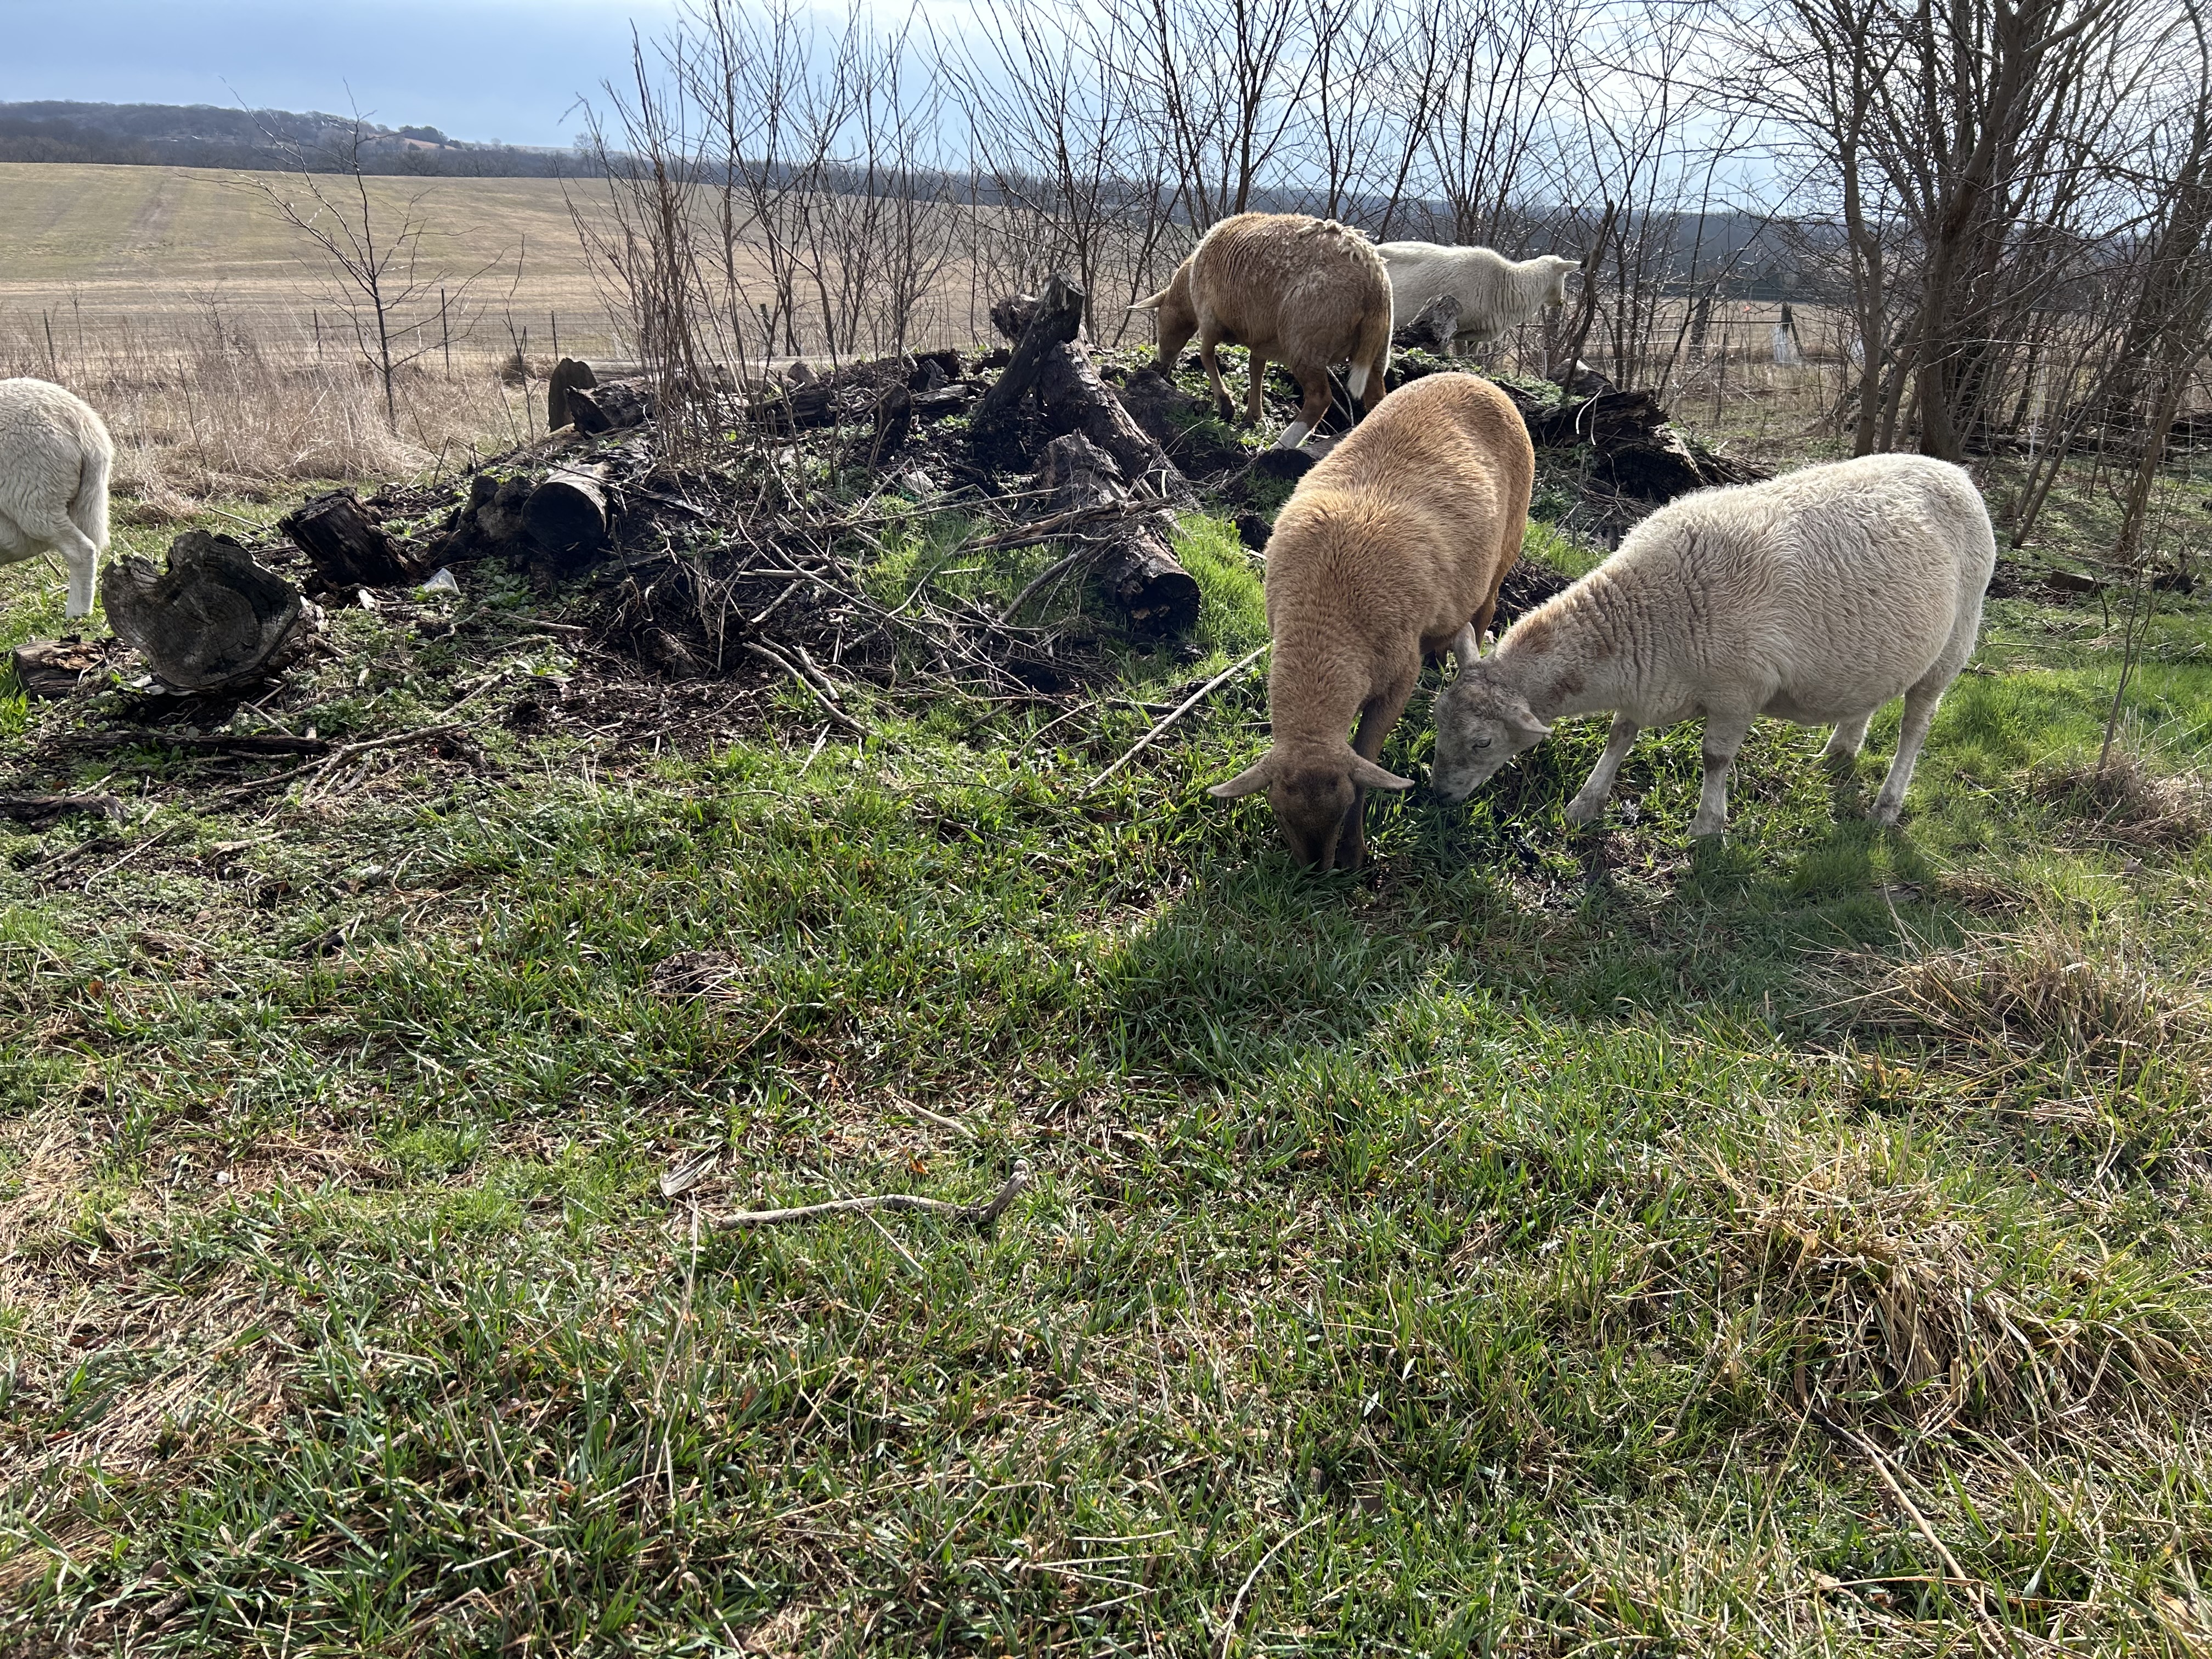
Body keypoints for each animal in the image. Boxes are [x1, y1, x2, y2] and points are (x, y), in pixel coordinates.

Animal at [1131, 213, 1395, 450]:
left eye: (1159, 321)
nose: (1161, 366)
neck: (1187, 286)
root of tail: (1374, 285)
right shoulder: (1262, 339)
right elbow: (1255, 367)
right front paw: (1252, 415)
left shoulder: (1209, 319)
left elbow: (1206, 356)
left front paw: (1226, 405)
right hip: (1377, 351)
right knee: (1377, 398)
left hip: (1307, 342)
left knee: (1320, 399)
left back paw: (1281, 445)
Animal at [1210, 372, 1536, 869]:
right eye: (1279, 813)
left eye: (1345, 802)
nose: (1314, 873)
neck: (1325, 623)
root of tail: (1473, 377)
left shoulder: (1398, 677)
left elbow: (1367, 753)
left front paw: (1355, 851)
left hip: (1507, 544)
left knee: (1485, 610)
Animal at [1374, 244, 1580, 357]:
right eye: (1564, 276)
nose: (1561, 302)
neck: (1505, 285)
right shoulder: (1451, 328)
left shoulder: (1475, 333)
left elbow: (1472, 356)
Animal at [1430, 452, 1997, 835]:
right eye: (1438, 719)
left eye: (1482, 743)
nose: (1438, 796)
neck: (1647, 612)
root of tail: (1954, 472)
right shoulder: (1646, 681)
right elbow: (1619, 736)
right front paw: (1585, 805)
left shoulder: (1738, 691)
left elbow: (1714, 758)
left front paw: (1707, 827)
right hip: (1877, 653)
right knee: (1867, 698)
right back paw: (1839, 753)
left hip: (1952, 648)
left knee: (1915, 728)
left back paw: (1887, 805)